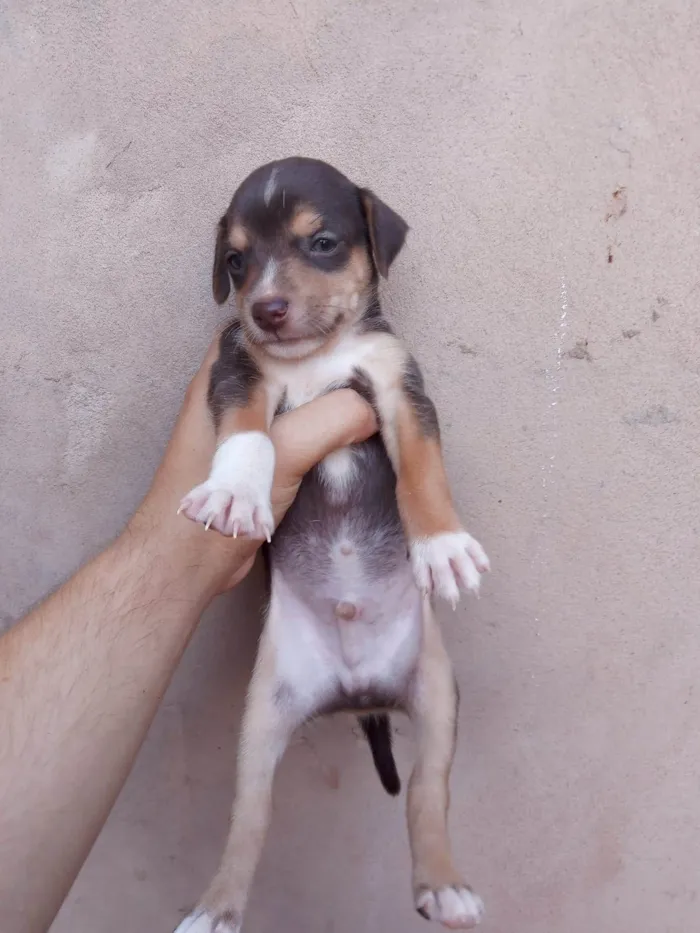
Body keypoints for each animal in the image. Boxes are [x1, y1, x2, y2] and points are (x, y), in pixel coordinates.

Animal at [175, 160, 490, 932]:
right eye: (235, 260)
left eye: (320, 242)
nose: (264, 310)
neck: (320, 356)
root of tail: (355, 694)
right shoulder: (239, 369)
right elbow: (250, 433)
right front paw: (235, 491)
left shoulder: (400, 387)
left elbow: (423, 470)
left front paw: (442, 545)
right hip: (262, 718)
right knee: (249, 820)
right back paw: (215, 908)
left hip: (438, 697)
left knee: (427, 795)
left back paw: (445, 885)